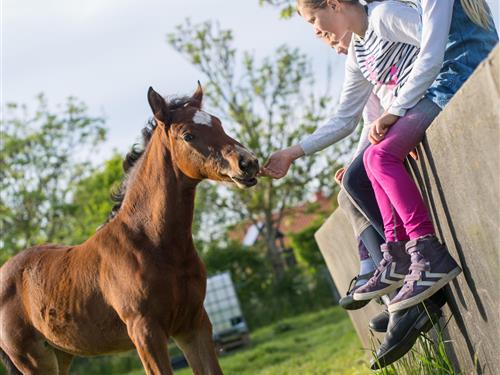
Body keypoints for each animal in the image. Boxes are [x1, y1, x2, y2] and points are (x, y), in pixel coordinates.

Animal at [0, 83, 258, 374]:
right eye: (188, 135)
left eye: (218, 123)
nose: (248, 162)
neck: (154, 244)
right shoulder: (145, 332)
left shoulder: (194, 324)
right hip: (33, 361)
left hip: (61, 355)